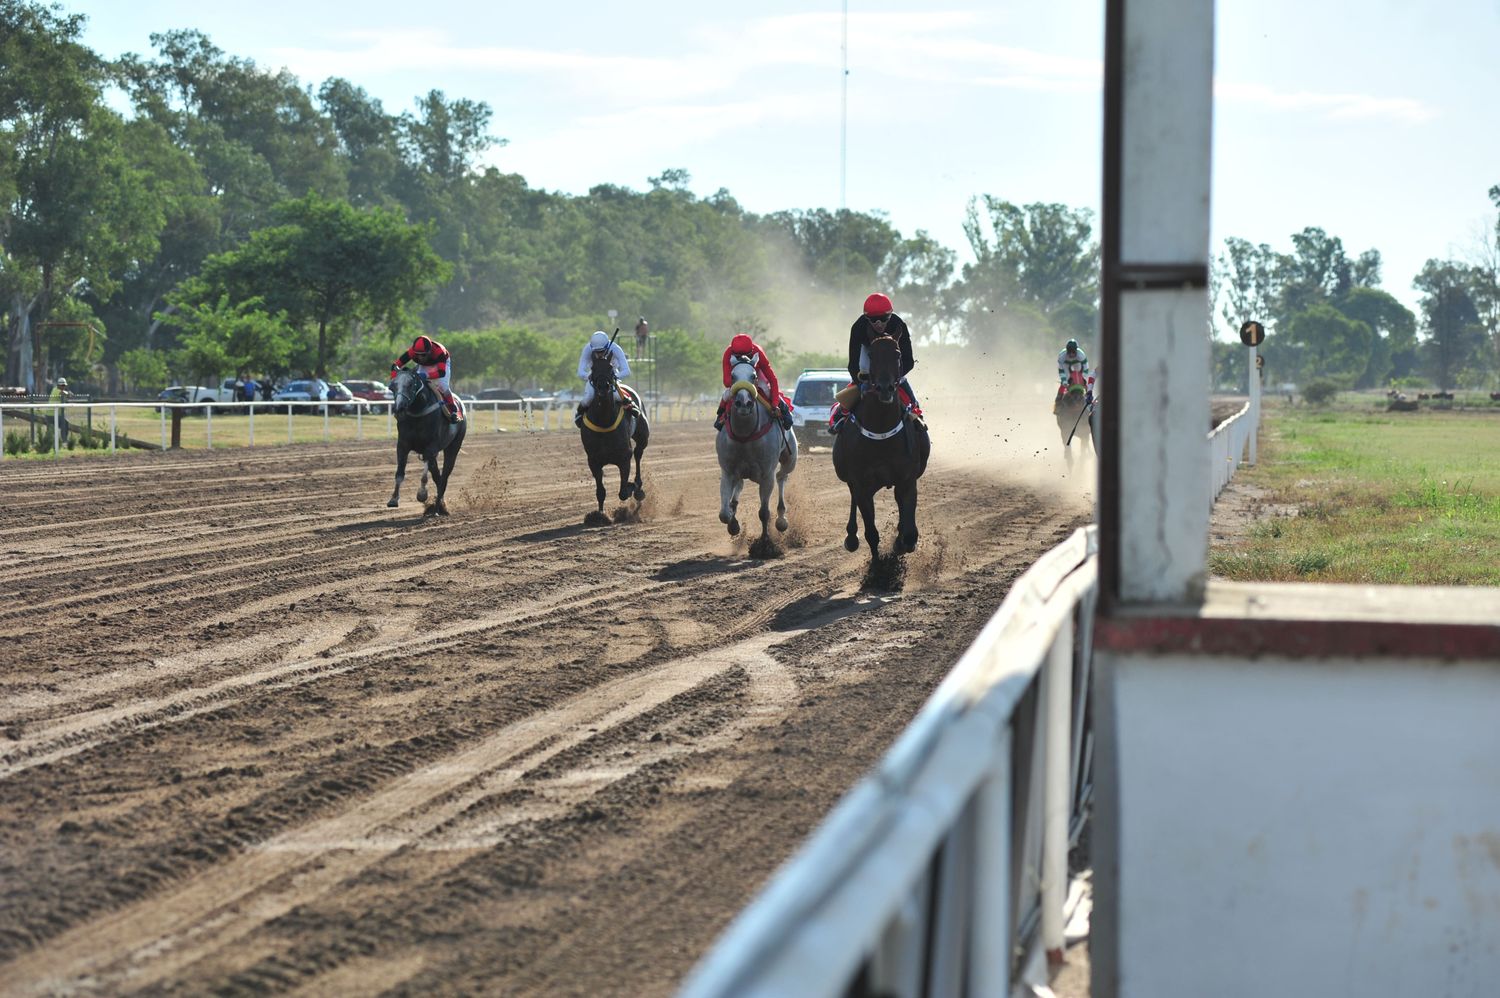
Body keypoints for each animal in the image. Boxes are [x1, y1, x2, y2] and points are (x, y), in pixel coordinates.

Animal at [387, 366, 462, 513]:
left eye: (410, 384)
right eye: (392, 386)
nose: (399, 408)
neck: (418, 412)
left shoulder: (430, 448)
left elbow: (424, 476)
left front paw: (422, 494)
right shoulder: (402, 445)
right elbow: (399, 473)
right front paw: (393, 499)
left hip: (453, 447)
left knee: (444, 476)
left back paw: (438, 508)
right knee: (438, 476)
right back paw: (439, 505)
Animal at [714, 358, 798, 540]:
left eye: (753, 376)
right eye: (732, 376)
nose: (744, 403)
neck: (745, 435)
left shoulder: (766, 474)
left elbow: (764, 512)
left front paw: (765, 541)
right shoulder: (728, 470)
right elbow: (724, 513)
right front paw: (733, 524)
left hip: (790, 458)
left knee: (782, 476)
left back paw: (781, 519)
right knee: (739, 486)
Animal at [834, 333, 924, 552]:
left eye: (897, 353)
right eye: (872, 355)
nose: (885, 388)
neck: (882, 435)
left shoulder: (907, 480)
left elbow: (910, 534)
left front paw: (901, 543)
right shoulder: (862, 485)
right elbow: (872, 534)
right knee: (853, 496)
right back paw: (851, 537)